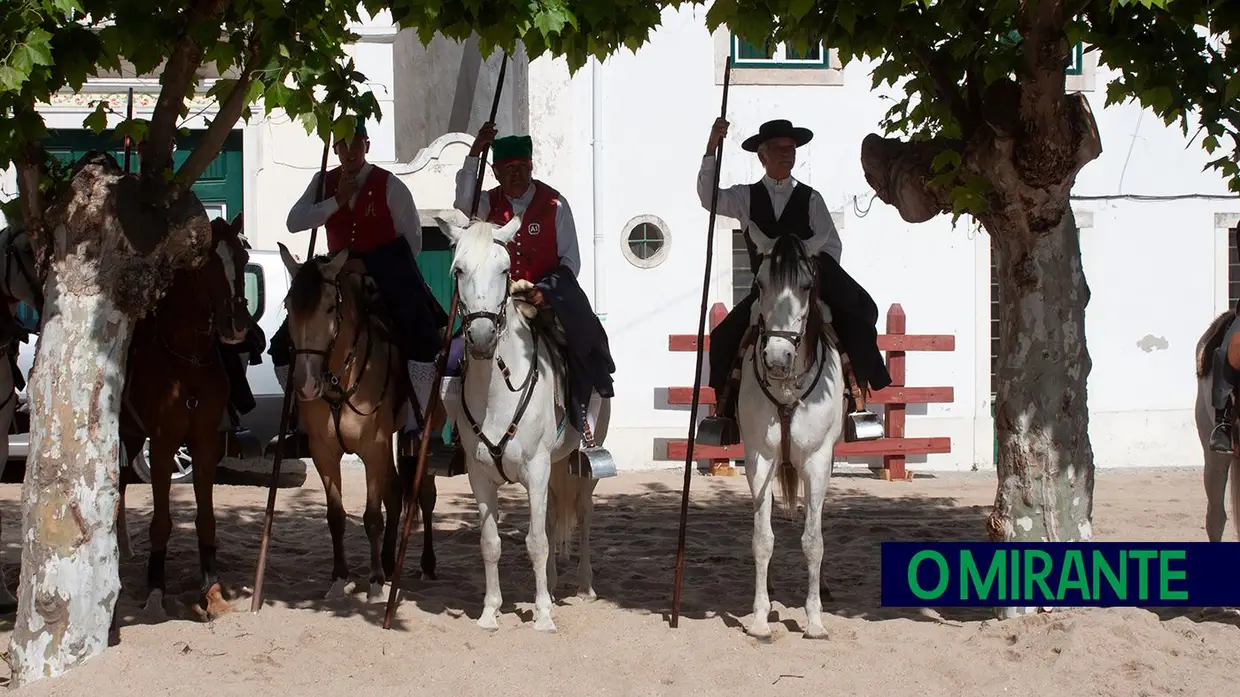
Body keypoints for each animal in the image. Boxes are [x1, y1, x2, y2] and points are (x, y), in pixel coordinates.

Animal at [115, 217, 252, 617]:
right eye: (204, 265)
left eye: (243, 257)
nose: (237, 324)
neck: (186, 361)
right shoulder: (163, 445)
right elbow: (161, 522)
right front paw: (155, 592)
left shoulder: (205, 443)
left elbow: (207, 520)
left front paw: (214, 591)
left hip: (132, 437)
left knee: (121, 482)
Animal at [277, 241, 441, 600]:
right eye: (288, 306)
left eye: (328, 308)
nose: (305, 385)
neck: (341, 377)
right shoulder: (324, 453)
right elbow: (336, 516)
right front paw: (340, 578)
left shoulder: (373, 447)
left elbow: (372, 517)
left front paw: (376, 582)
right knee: (396, 491)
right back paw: (390, 560)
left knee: (424, 495)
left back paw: (425, 564)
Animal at [436, 214, 610, 632]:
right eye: (458, 269)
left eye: (504, 269)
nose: (482, 338)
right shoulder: (480, 476)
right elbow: (492, 543)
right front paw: (490, 612)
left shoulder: (537, 467)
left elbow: (537, 543)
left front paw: (543, 615)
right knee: (551, 518)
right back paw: (553, 583)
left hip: (582, 468)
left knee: (583, 515)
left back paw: (584, 585)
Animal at [729, 223, 848, 639]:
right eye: (760, 283)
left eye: (807, 285)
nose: (778, 359)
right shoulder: (759, 460)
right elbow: (762, 540)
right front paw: (760, 618)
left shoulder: (817, 461)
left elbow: (813, 541)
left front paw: (814, 620)